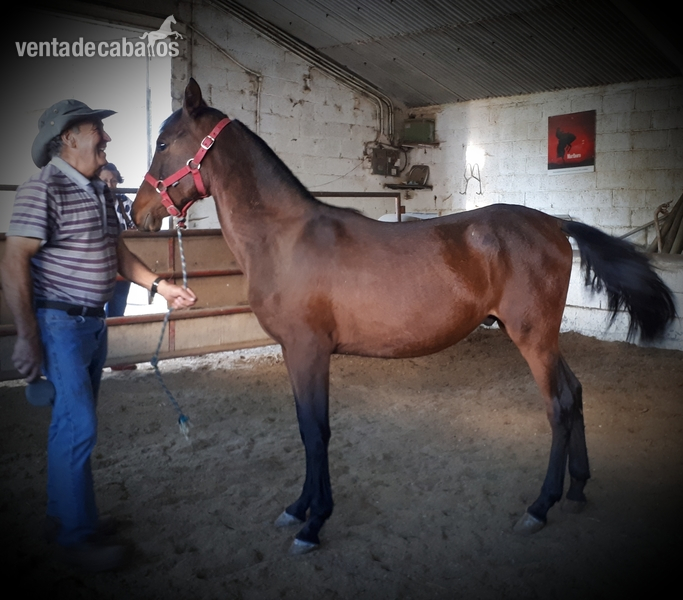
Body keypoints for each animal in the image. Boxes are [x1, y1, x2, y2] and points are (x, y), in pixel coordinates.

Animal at [132, 79, 677, 555]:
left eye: (162, 141)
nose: (138, 214)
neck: (286, 237)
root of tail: (553, 225)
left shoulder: (309, 351)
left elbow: (315, 431)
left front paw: (313, 523)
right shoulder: (294, 352)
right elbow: (307, 428)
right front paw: (298, 508)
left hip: (534, 339)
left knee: (560, 406)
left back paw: (540, 507)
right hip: (543, 337)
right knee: (576, 393)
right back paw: (578, 490)